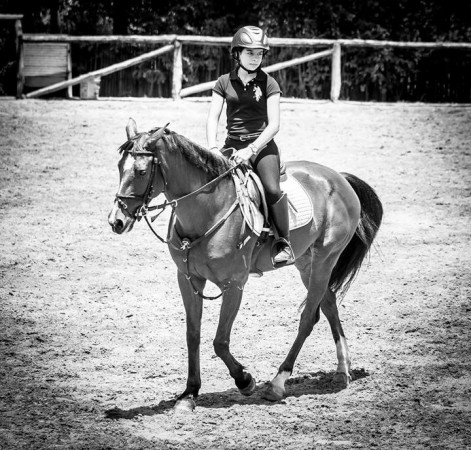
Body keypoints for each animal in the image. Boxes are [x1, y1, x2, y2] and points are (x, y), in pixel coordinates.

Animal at [108, 118, 383, 412]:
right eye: (119, 167)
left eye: (140, 171)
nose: (116, 221)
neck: (209, 210)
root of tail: (339, 179)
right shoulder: (188, 279)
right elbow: (193, 335)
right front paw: (189, 394)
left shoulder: (234, 285)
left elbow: (220, 341)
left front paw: (245, 380)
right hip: (307, 263)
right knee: (329, 304)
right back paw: (343, 371)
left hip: (325, 259)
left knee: (309, 318)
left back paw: (277, 383)